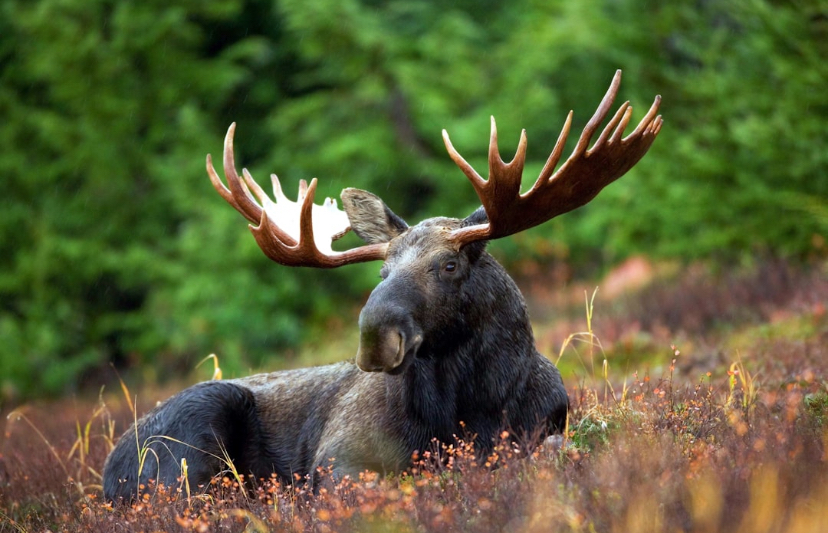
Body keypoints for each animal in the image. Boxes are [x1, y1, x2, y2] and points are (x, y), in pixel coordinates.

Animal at [103, 70, 662, 502]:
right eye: (382, 272)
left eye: (449, 265)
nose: (375, 336)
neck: (471, 408)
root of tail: (107, 472)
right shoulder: (338, 458)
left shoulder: (546, 428)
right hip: (193, 433)